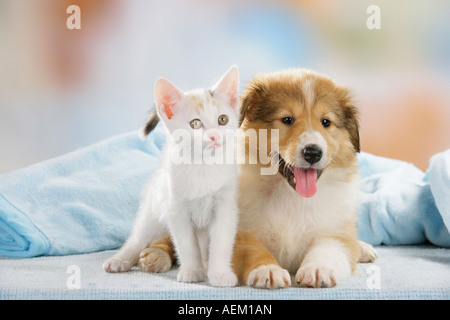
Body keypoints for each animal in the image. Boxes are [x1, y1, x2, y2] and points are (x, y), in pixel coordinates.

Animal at [103, 66, 241, 286]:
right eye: (195, 124)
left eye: (223, 120)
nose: (214, 136)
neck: (203, 166)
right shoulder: (176, 208)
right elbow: (185, 243)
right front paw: (192, 272)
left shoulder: (225, 205)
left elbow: (221, 241)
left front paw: (220, 274)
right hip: (154, 204)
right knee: (139, 236)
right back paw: (120, 260)